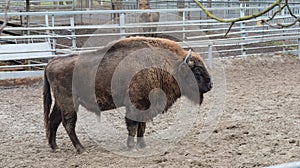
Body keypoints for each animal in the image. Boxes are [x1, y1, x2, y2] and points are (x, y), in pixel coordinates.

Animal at [44, 36, 213, 154]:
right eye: (197, 70)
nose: (210, 85)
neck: (168, 66)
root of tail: (52, 63)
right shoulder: (136, 104)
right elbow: (132, 124)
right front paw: (131, 146)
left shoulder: (145, 106)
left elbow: (142, 126)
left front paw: (143, 145)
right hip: (69, 103)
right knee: (68, 123)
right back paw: (81, 149)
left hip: (60, 103)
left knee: (53, 120)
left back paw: (55, 147)